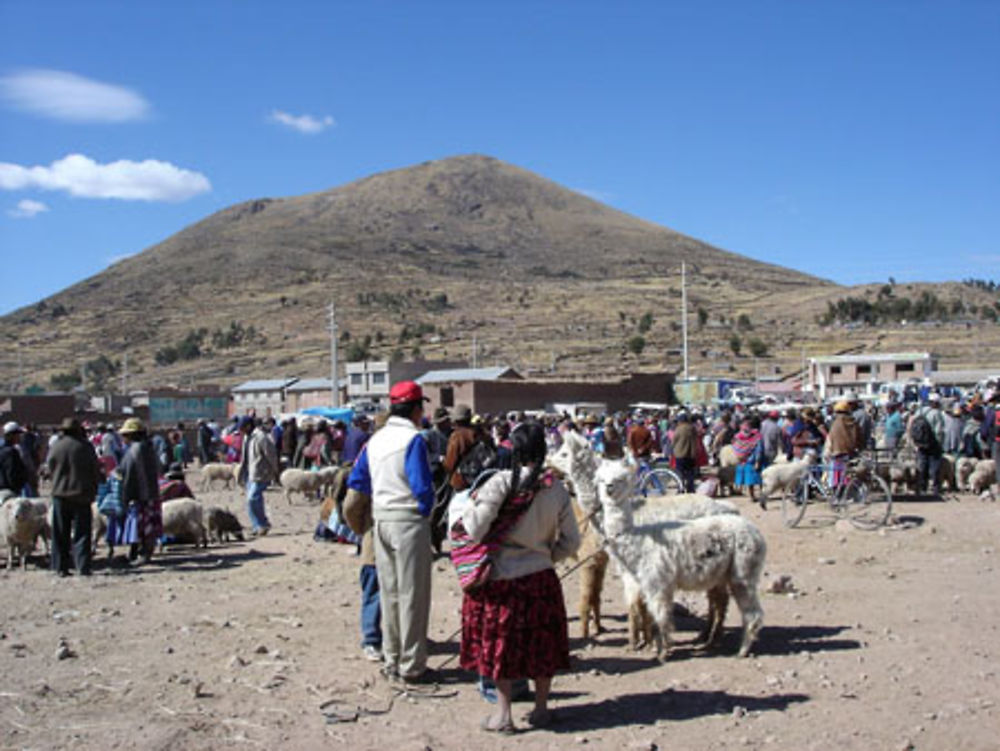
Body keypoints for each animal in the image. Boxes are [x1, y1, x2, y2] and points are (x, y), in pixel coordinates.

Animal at [584, 462, 764, 660]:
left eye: (620, 478)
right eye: (601, 479)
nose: (609, 488)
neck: (638, 540)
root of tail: (756, 533)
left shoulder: (658, 582)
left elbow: (661, 616)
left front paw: (663, 653)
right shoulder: (651, 584)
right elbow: (658, 616)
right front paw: (660, 647)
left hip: (744, 569)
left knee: (753, 613)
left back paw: (742, 650)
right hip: (726, 573)